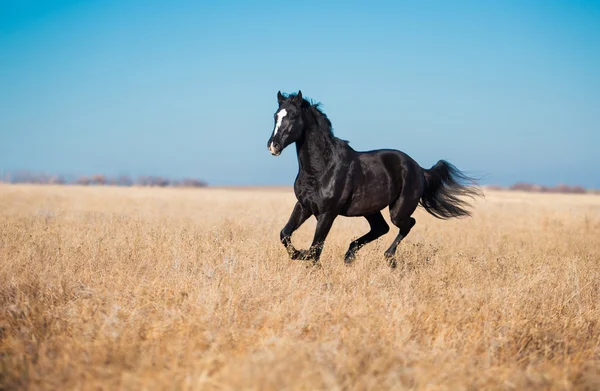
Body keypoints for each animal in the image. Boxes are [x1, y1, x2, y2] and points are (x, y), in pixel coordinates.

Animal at [268, 90, 482, 268]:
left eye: (293, 116)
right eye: (276, 116)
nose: (273, 146)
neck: (321, 168)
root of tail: (419, 169)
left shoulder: (328, 213)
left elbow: (316, 248)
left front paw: (308, 260)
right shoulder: (304, 206)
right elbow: (285, 234)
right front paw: (299, 254)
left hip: (398, 211)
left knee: (407, 224)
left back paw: (388, 257)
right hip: (371, 210)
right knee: (381, 228)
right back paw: (350, 255)